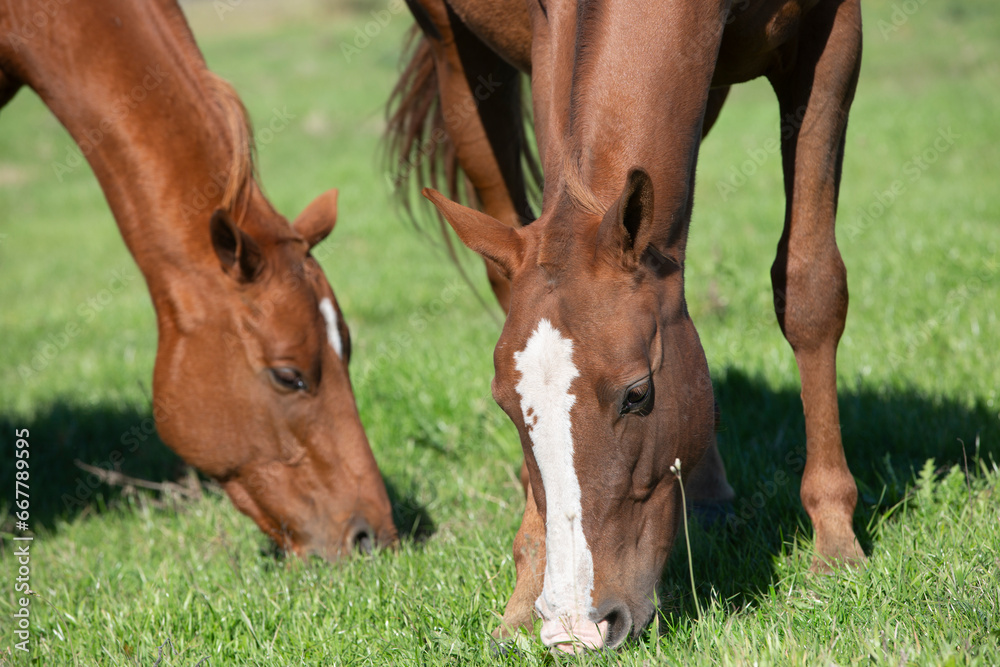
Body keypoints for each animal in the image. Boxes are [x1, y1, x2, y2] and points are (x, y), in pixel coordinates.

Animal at [389, 0, 863, 651]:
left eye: (637, 395)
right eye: (505, 407)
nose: (579, 625)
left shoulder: (831, 39)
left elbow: (810, 289)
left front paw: (836, 541)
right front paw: (527, 587)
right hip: (456, 56)